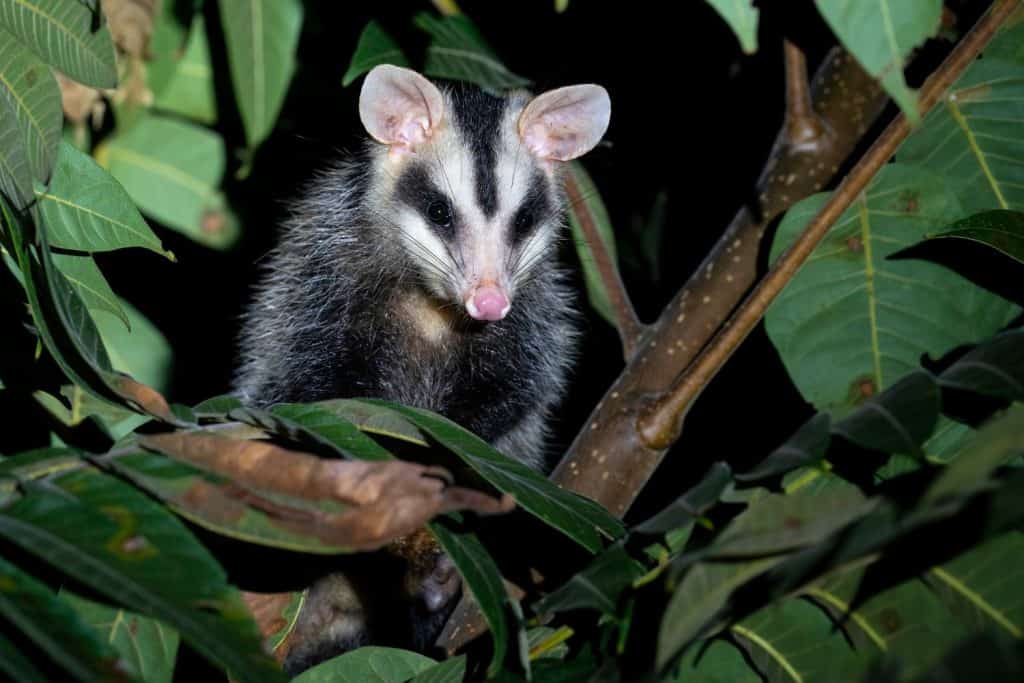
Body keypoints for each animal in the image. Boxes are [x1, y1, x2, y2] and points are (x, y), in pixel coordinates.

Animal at [234, 65, 610, 673]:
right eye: (439, 212)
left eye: (525, 219)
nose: (489, 302)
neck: (436, 310)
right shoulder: (320, 280)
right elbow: (311, 386)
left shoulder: (537, 313)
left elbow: (520, 391)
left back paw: (433, 584)